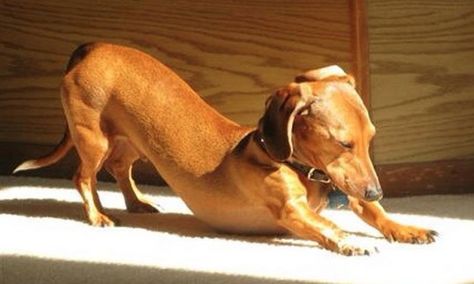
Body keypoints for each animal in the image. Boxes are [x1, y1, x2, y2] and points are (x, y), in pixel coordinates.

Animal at [13, 42, 436, 255]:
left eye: (371, 138)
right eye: (342, 142)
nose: (376, 190)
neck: (299, 167)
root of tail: (94, 48)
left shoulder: (351, 192)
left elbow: (376, 216)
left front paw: (408, 229)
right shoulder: (290, 210)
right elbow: (325, 224)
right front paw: (345, 240)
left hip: (130, 140)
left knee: (120, 168)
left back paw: (137, 204)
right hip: (93, 138)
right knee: (82, 177)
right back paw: (98, 216)